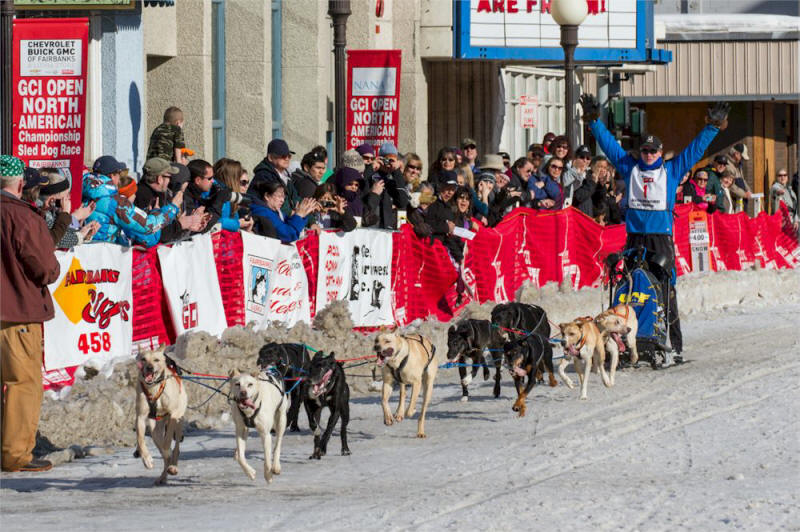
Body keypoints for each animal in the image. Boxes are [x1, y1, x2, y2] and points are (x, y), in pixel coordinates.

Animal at [138, 348, 189, 484]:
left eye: (156, 359)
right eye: (143, 359)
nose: (149, 367)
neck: (154, 388)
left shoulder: (173, 414)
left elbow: (168, 440)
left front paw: (168, 452)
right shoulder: (140, 417)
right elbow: (140, 439)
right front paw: (147, 459)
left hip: (179, 422)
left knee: (176, 448)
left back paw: (173, 466)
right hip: (155, 431)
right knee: (162, 447)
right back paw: (164, 475)